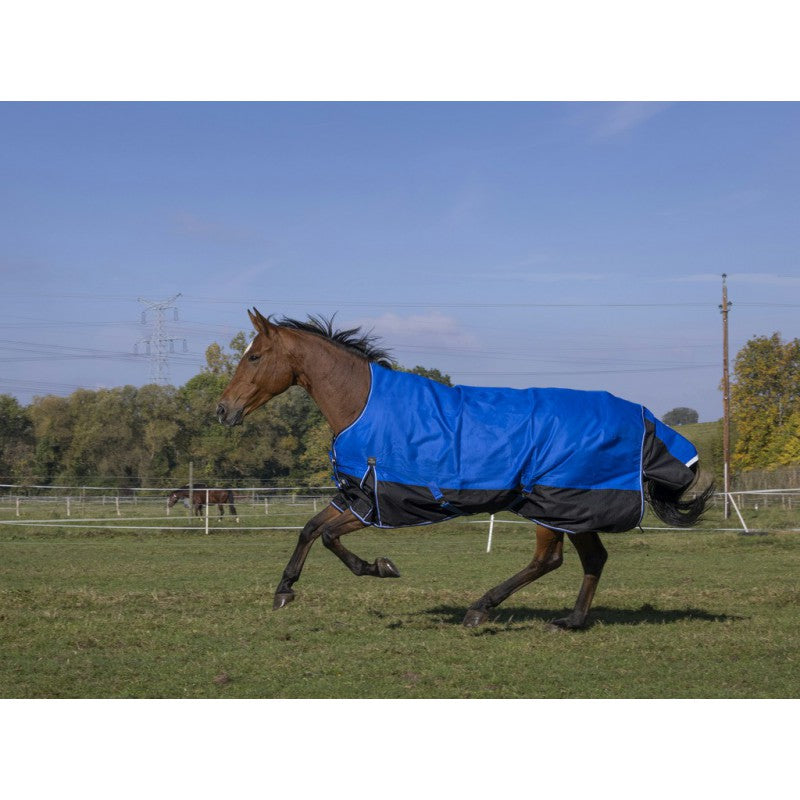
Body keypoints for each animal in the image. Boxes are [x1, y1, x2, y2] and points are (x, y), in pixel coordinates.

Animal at [216, 309, 714, 629]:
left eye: (254, 356)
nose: (223, 410)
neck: (362, 403)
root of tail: (643, 419)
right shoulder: (356, 496)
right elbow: (309, 529)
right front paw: (285, 590)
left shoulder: (375, 503)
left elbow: (329, 537)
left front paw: (380, 567)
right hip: (573, 510)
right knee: (593, 559)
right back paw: (570, 621)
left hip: (551, 504)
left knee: (548, 560)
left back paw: (480, 609)